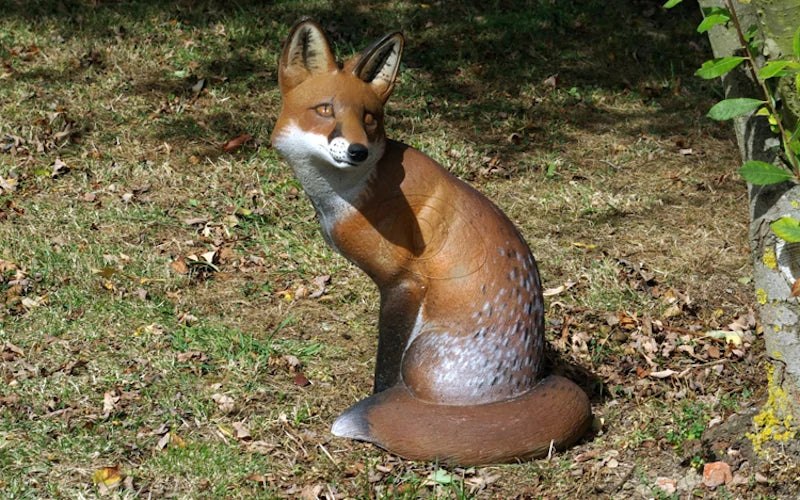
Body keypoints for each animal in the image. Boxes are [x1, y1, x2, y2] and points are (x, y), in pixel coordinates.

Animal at [270, 19, 592, 465]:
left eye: (369, 119)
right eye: (325, 110)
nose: (357, 150)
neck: (354, 192)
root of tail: (527, 382)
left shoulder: (404, 283)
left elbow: (385, 367)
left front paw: (380, 403)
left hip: (421, 354)